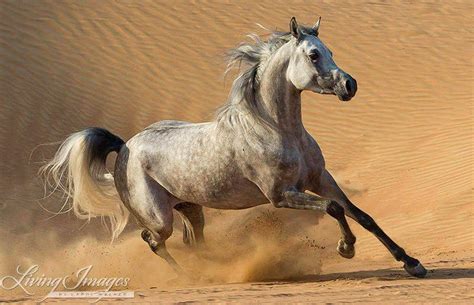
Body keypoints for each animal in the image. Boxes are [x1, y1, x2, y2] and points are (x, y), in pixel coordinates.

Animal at [39, 17, 428, 278]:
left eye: (331, 51)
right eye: (314, 55)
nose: (350, 85)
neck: (276, 130)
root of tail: (125, 148)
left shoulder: (320, 179)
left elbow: (361, 215)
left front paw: (412, 263)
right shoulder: (281, 195)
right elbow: (333, 209)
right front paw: (346, 249)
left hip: (191, 208)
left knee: (194, 241)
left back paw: (211, 269)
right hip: (159, 216)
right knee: (154, 240)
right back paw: (190, 278)